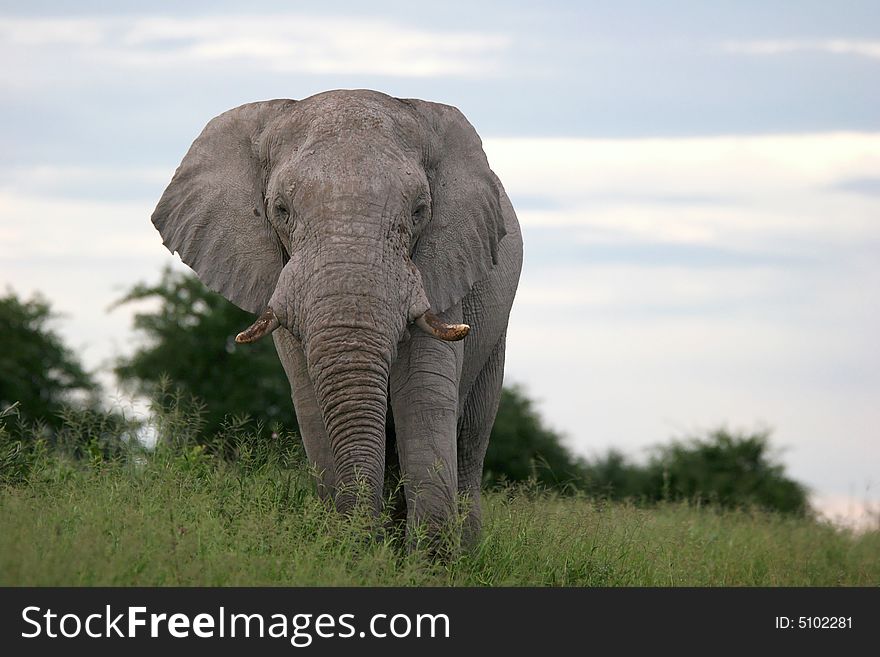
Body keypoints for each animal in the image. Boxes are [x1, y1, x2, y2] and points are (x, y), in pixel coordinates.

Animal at [152, 88, 524, 544]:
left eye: (420, 211)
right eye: (280, 209)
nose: (365, 538)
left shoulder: (441, 270)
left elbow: (423, 391)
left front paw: (428, 555)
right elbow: (312, 400)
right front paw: (351, 546)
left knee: (470, 436)